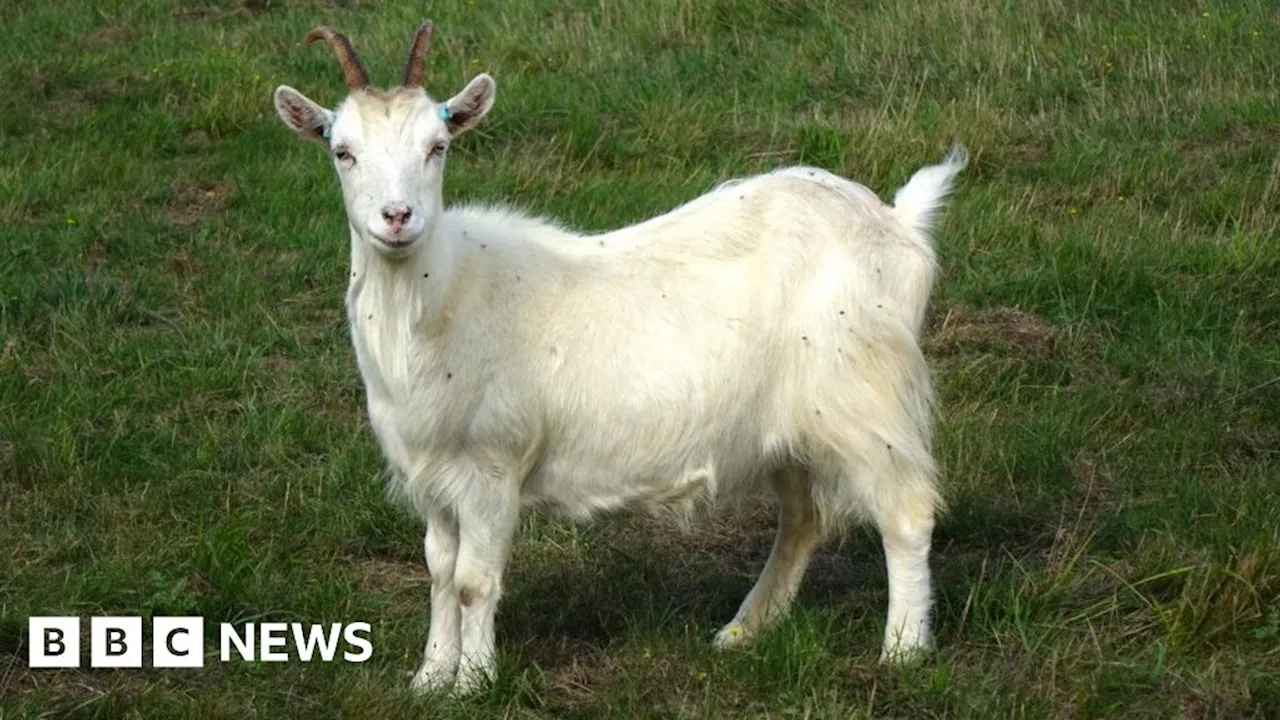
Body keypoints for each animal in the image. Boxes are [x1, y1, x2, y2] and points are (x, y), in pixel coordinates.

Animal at [272, 22, 967, 691]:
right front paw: (429, 677)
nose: (398, 217)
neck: (440, 298)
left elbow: (473, 580)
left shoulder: (494, 462)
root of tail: (898, 222)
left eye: (437, 146)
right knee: (803, 518)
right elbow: (440, 572)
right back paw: (743, 631)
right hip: (791, 424)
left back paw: (902, 649)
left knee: (906, 511)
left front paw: (473, 683)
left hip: (864, 395)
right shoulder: (432, 473)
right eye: (342, 151)